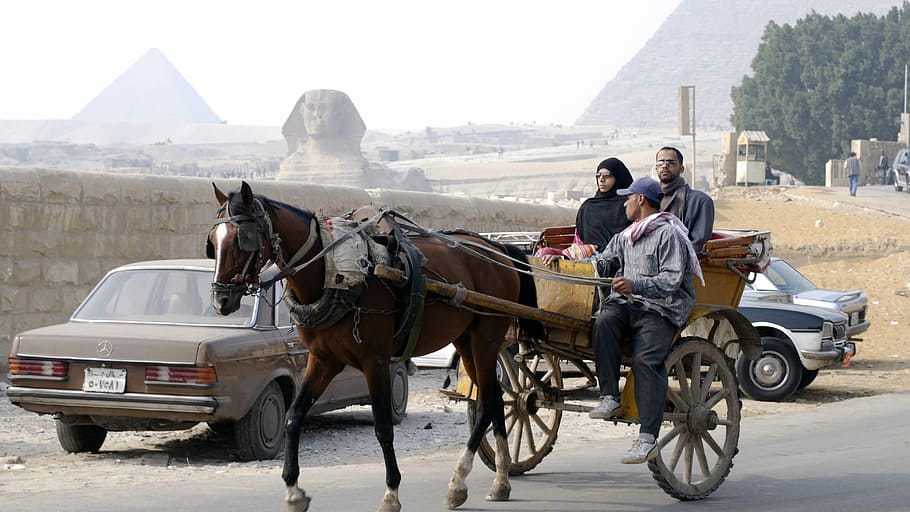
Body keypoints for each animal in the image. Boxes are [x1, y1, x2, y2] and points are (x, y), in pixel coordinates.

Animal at [206, 181, 544, 512]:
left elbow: (383, 426)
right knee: (495, 399)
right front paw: (293, 490)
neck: (334, 271)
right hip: (465, 338)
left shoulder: (376, 361)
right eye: (213, 242)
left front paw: (391, 493)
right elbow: (293, 416)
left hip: (487, 337)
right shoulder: (323, 359)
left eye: (242, 239)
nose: (221, 300)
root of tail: (498, 250)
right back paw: (490, 481)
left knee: (489, 399)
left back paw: (473, 481)